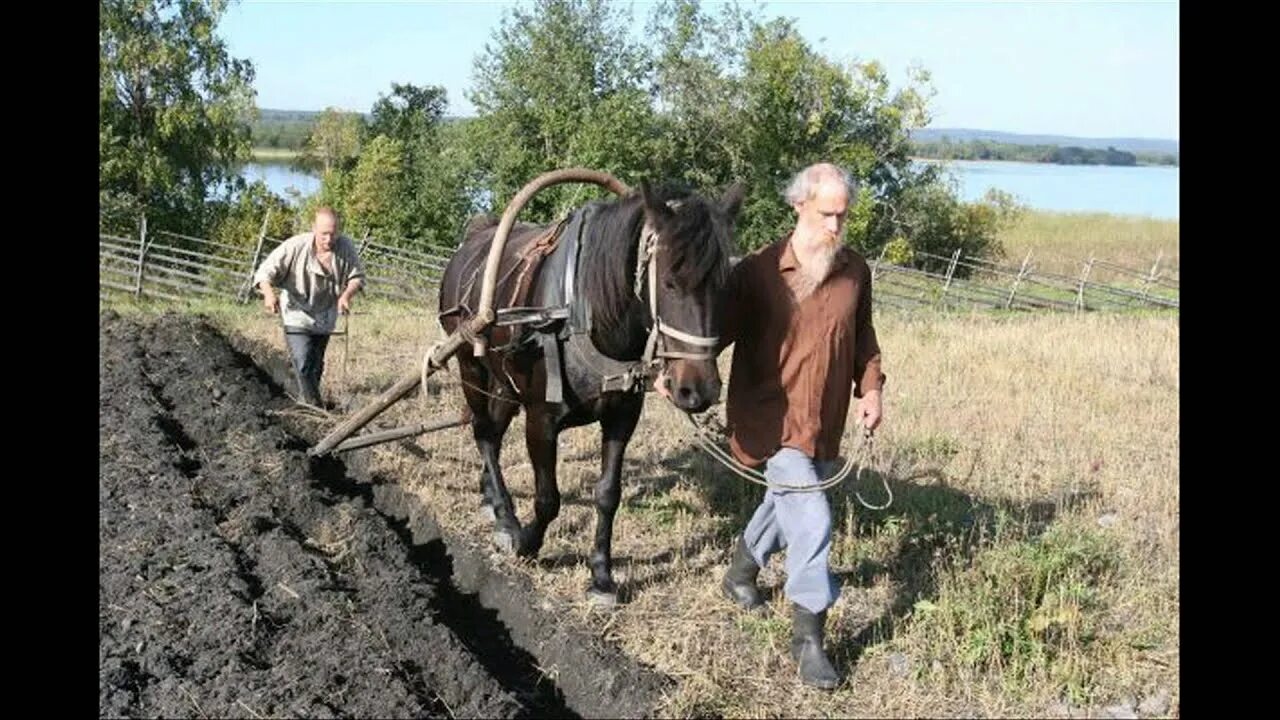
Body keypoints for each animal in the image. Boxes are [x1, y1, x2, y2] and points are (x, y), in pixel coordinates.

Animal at [440, 176, 747, 602]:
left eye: (725, 287)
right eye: (670, 282)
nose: (698, 390)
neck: (581, 311)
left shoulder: (622, 417)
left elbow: (607, 494)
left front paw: (601, 575)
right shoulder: (541, 419)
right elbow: (548, 498)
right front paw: (527, 543)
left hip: (503, 382)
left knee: (495, 435)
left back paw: (491, 500)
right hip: (469, 363)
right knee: (484, 433)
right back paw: (505, 516)